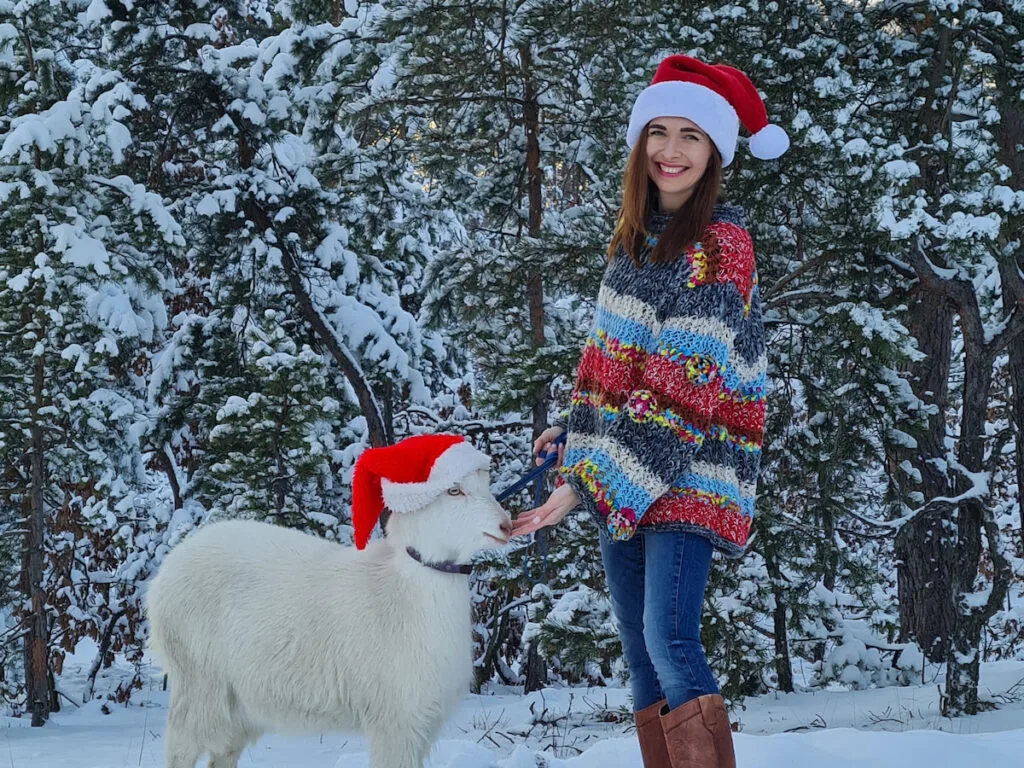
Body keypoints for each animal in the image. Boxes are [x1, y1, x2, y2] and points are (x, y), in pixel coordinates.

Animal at [144, 462, 512, 768]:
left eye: (485, 480)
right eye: (454, 490)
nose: (506, 525)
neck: (405, 594)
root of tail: (162, 578)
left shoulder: (420, 721)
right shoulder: (393, 720)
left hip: (239, 705)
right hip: (197, 681)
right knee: (179, 749)